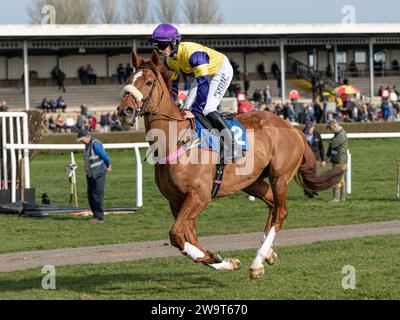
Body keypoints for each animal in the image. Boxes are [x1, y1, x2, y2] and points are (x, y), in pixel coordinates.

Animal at [117, 50, 342, 280]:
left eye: (149, 81)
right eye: (129, 79)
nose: (125, 110)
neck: (177, 140)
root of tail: (293, 128)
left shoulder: (199, 195)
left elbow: (176, 235)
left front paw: (216, 258)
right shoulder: (176, 200)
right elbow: (190, 238)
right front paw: (220, 260)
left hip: (280, 177)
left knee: (281, 212)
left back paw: (257, 263)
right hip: (252, 181)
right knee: (272, 205)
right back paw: (267, 254)